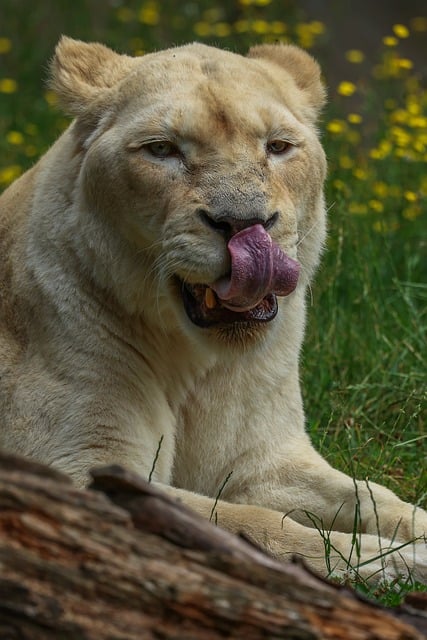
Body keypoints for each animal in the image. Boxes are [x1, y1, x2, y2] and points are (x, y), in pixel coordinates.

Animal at [0, 37, 426, 584]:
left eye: (278, 146)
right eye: (162, 149)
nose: (245, 223)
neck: (192, 359)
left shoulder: (258, 461)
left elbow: (371, 495)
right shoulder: (72, 472)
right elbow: (253, 524)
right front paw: (400, 561)